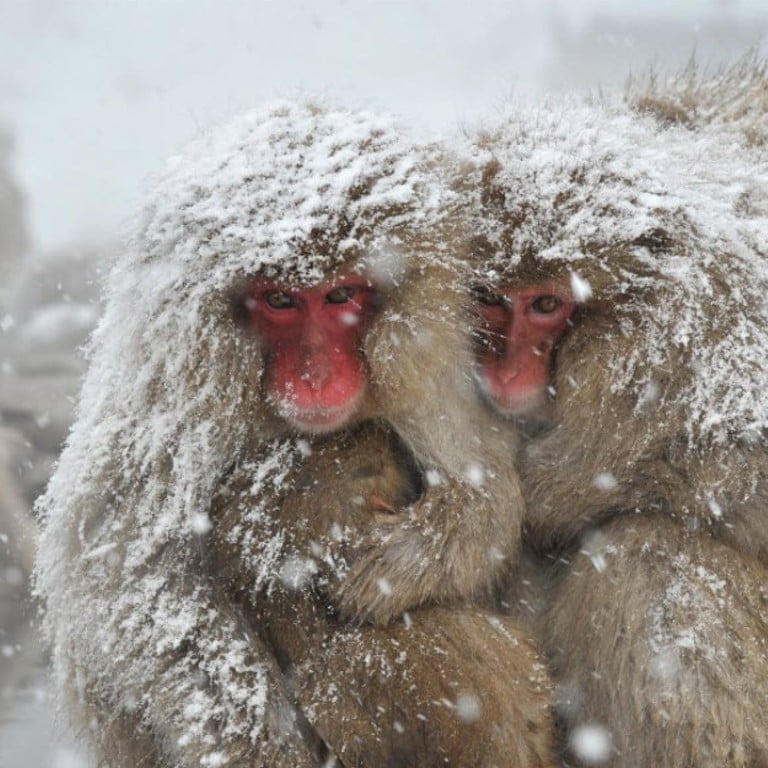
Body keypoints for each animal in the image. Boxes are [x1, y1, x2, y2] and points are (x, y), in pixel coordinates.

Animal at [35, 100, 553, 767]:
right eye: (281, 299)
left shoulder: (429, 361)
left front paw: (397, 564)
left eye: (339, 295)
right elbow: (136, 574)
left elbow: (484, 492)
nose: (315, 375)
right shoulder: (180, 379)